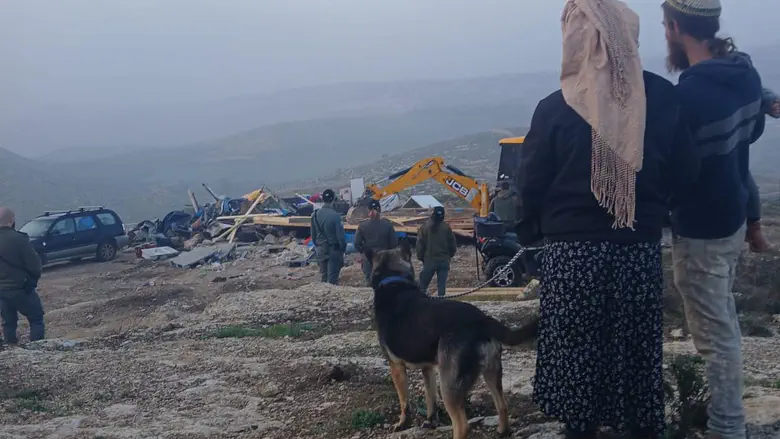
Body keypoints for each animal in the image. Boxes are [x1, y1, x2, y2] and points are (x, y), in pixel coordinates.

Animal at [366, 242, 536, 438]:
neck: (393, 281)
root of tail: (481, 319)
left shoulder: (396, 367)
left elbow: (404, 401)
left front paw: (402, 423)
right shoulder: (428, 368)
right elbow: (430, 397)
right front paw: (431, 421)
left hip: (448, 385)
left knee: (462, 425)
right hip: (491, 372)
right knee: (502, 405)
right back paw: (503, 431)